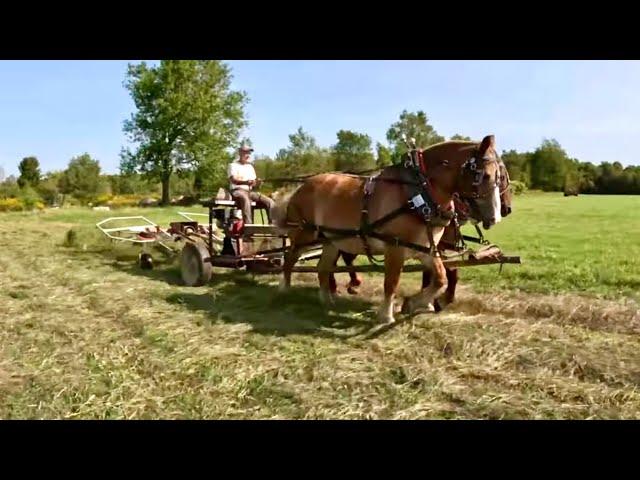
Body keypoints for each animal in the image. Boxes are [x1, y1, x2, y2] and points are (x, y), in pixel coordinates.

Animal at [272, 134, 502, 326]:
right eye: (485, 175)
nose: (495, 218)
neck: (418, 192)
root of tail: (300, 187)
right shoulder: (395, 247)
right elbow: (391, 282)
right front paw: (386, 315)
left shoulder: (424, 248)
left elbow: (440, 278)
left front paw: (413, 303)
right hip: (305, 234)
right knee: (290, 258)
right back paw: (284, 289)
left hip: (332, 239)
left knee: (323, 268)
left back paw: (326, 299)